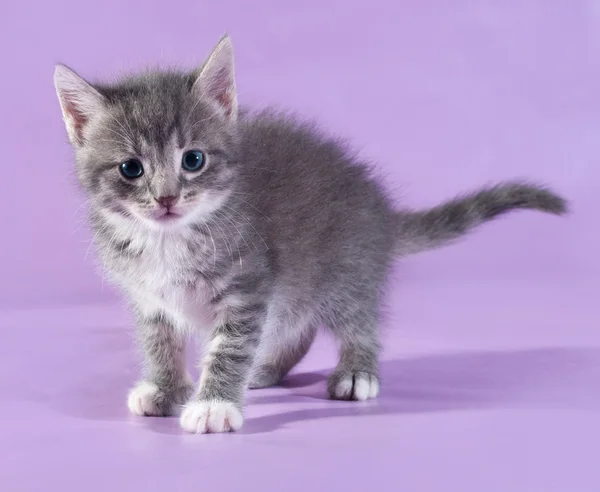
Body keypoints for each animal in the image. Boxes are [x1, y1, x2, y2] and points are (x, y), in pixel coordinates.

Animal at [52, 35, 568, 434]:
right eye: (131, 169)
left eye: (193, 160)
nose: (166, 198)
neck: (170, 239)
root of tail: (380, 208)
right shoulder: (150, 297)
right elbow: (159, 342)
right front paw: (166, 389)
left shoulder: (248, 286)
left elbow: (229, 346)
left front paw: (214, 404)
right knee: (294, 328)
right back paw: (264, 368)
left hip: (345, 272)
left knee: (360, 321)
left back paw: (357, 371)